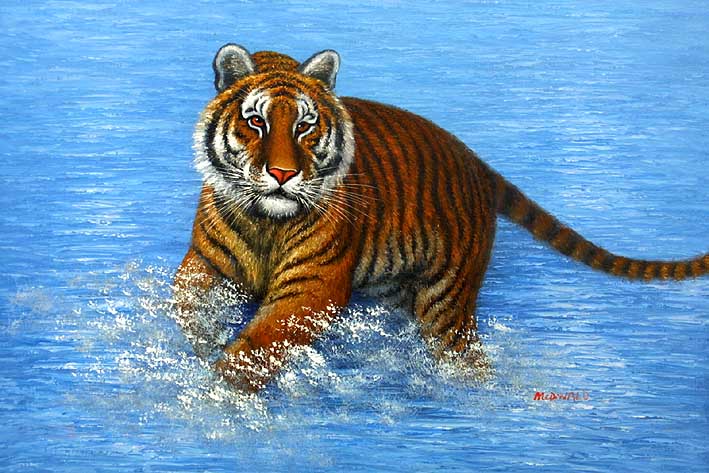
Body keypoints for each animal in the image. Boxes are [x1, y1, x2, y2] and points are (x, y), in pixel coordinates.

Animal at [174, 43, 709, 392]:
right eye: (256, 122)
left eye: (305, 126)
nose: (283, 174)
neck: (265, 219)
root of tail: (475, 162)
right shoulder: (204, 263)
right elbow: (183, 305)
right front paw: (201, 346)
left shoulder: (313, 287)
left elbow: (259, 343)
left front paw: (216, 396)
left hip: (446, 301)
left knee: (464, 356)